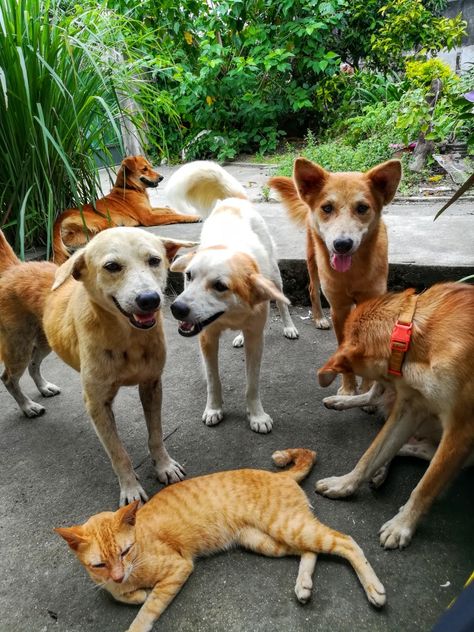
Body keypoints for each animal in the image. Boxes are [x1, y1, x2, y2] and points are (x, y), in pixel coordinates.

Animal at [0, 227, 194, 504]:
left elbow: (156, 435)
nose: (150, 299)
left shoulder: (152, 386)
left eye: (155, 260)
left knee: (34, 364)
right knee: (9, 377)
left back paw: (44, 387)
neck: (128, 338)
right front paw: (130, 489)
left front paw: (164, 466)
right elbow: (118, 453)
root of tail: (16, 267)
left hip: (46, 339)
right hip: (18, 347)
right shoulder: (97, 404)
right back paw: (27, 406)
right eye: (112, 266)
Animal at [53, 156, 200, 264]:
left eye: (150, 167)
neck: (130, 188)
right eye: (144, 169)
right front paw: (193, 217)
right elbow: (172, 216)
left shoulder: (150, 209)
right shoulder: (149, 217)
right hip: (105, 221)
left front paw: (177, 210)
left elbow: (168, 210)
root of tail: (61, 216)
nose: (161, 177)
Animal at [54, 446, 386, 628]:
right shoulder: (111, 582)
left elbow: (146, 611)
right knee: (311, 550)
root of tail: (277, 475)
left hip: (287, 526)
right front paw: (132, 593)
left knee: (345, 541)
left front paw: (139, 605)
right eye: (99, 565)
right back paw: (303, 585)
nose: (119, 575)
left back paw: (374, 589)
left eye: (125, 551)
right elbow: (115, 593)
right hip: (269, 540)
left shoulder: (178, 569)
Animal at [167, 160, 298, 432]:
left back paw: (289, 327)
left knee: (281, 303)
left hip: (275, 276)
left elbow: (252, 384)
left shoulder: (256, 339)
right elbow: (212, 380)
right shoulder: (206, 338)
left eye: (220, 286)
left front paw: (257, 415)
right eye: (188, 276)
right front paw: (214, 409)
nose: (177, 309)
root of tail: (233, 200)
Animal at [314, 284, 474, 552]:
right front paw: (345, 483)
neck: (410, 335)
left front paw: (402, 525)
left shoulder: (461, 429)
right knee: (408, 447)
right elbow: (371, 453)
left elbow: (427, 484)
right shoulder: (411, 406)